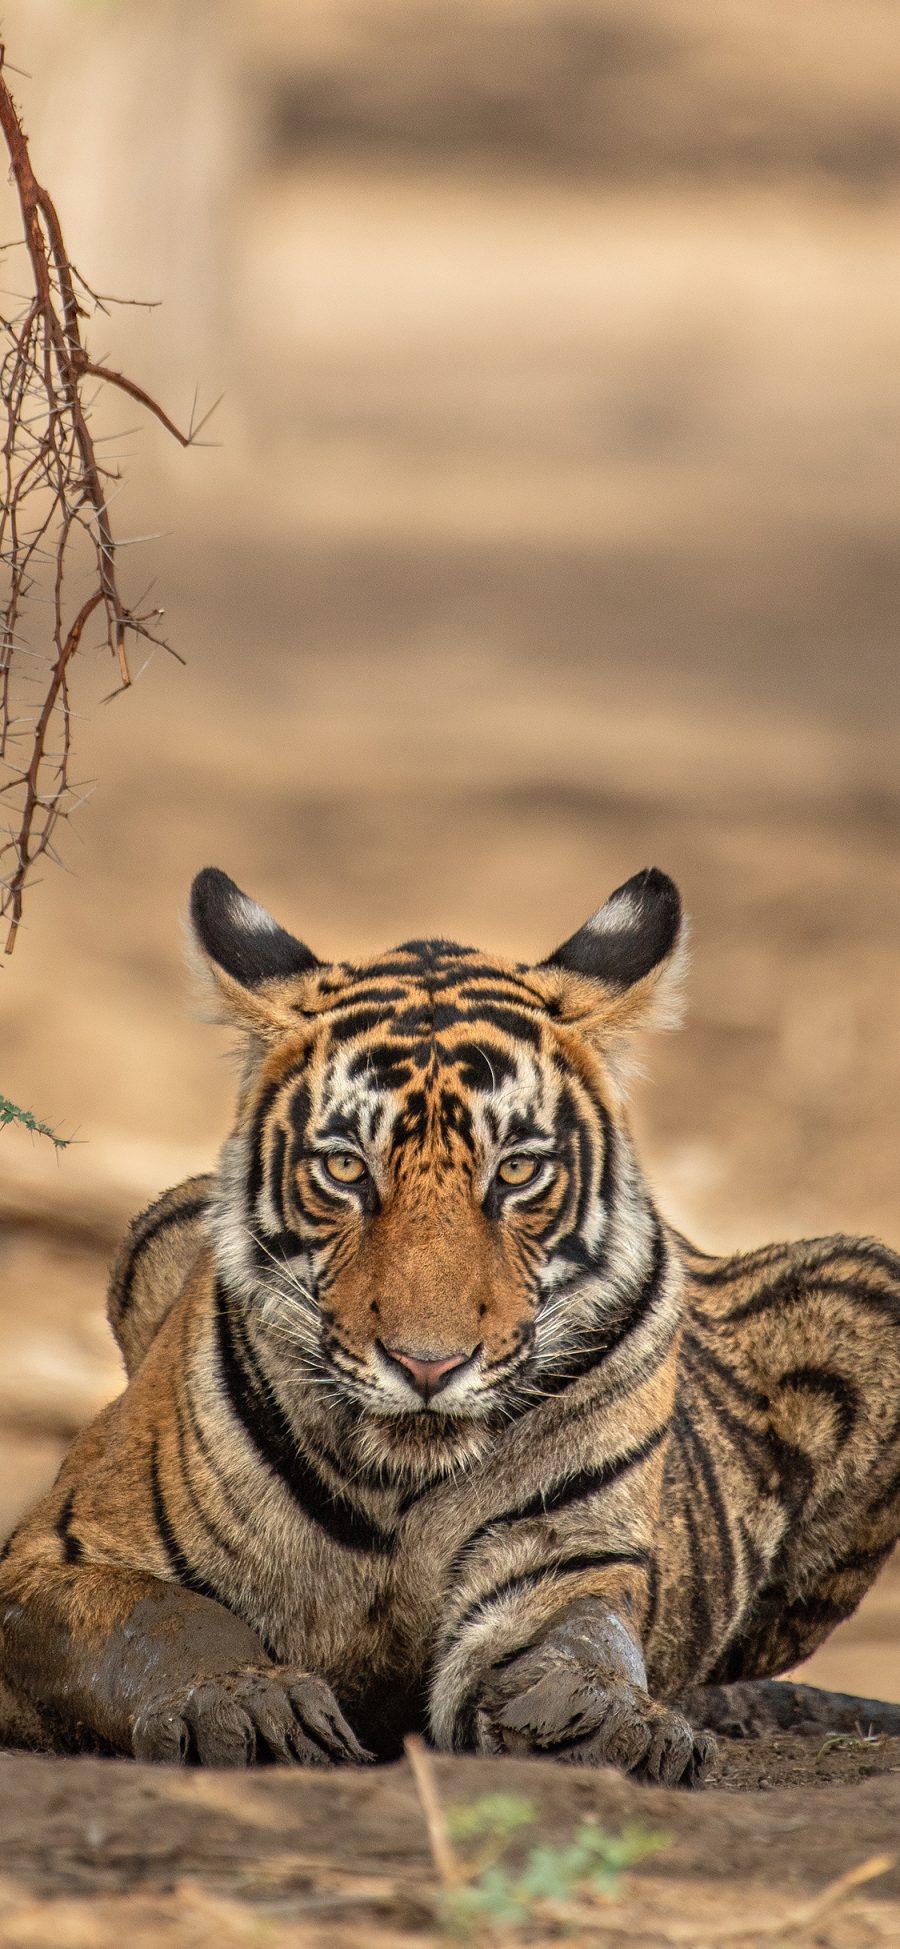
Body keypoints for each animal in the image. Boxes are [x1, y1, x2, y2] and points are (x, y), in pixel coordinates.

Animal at [1, 869, 900, 1785]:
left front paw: (611, 1720)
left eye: (518, 1170)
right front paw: (246, 1704)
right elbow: (161, 1619)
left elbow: (584, 1640)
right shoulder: (53, 1557)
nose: (427, 1365)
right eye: (345, 1167)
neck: (401, 1482)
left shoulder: (563, 1562)